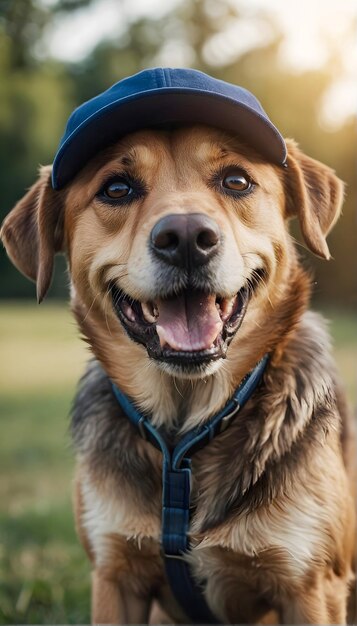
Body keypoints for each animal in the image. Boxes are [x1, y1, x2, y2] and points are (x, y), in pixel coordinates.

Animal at [1, 66, 354, 620]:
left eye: (236, 181)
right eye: (117, 188)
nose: (187, 237)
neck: (184, 434)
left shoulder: (311, 586)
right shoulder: (115, 574)